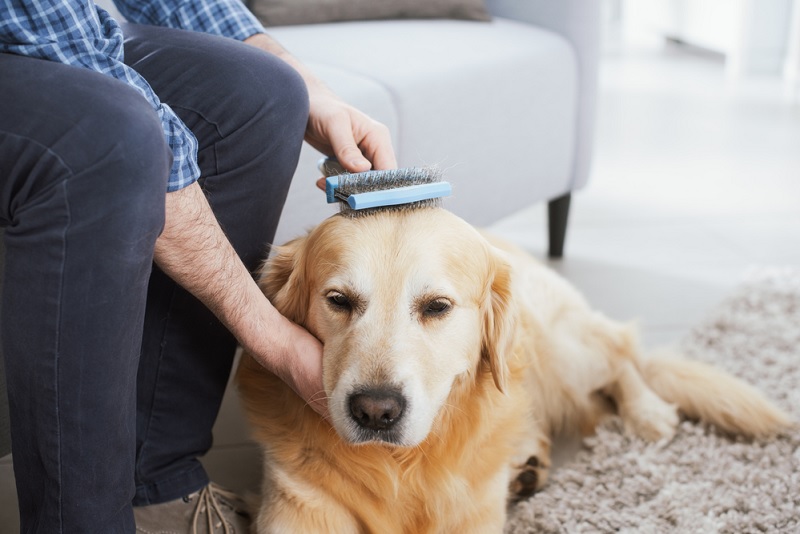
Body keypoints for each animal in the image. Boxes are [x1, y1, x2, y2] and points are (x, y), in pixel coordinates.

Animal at [234, 206, 792, 534]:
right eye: (338, 300)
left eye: (437, 307)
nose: (375, 411)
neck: (403, 467)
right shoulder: (297, 506)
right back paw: (526, 468)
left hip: (561, 349)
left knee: (621, 354)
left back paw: (647, 412)